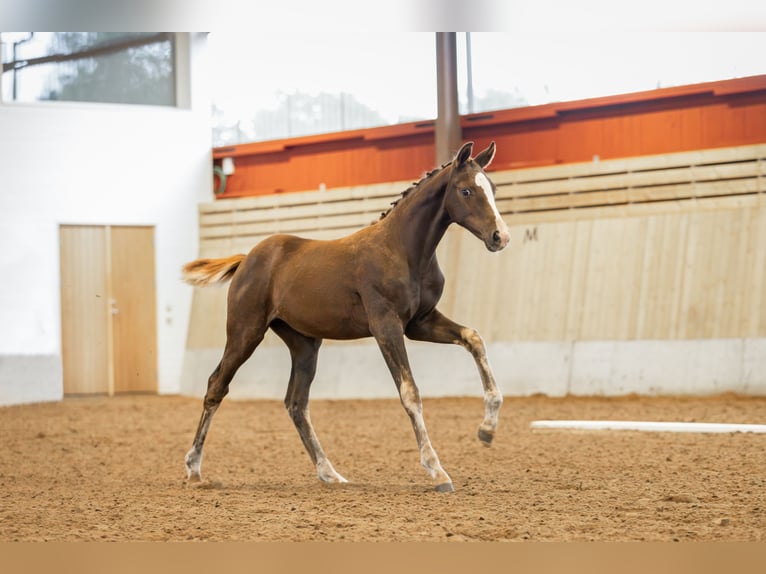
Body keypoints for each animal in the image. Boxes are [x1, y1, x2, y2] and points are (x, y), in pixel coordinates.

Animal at [183, 142, 512, 492]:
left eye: (493, 189)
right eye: (466, 190)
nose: (500, 237)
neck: (402, 250)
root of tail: (247, 259)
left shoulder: (420, 323)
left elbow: (473, 338)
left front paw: (487, 429)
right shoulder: (386, 327)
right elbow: (410, 392)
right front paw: (437, 471)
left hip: (304, 344)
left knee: (296, 403)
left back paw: (330, 472)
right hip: (245, 332)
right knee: (217, 385)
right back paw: (193, 468)